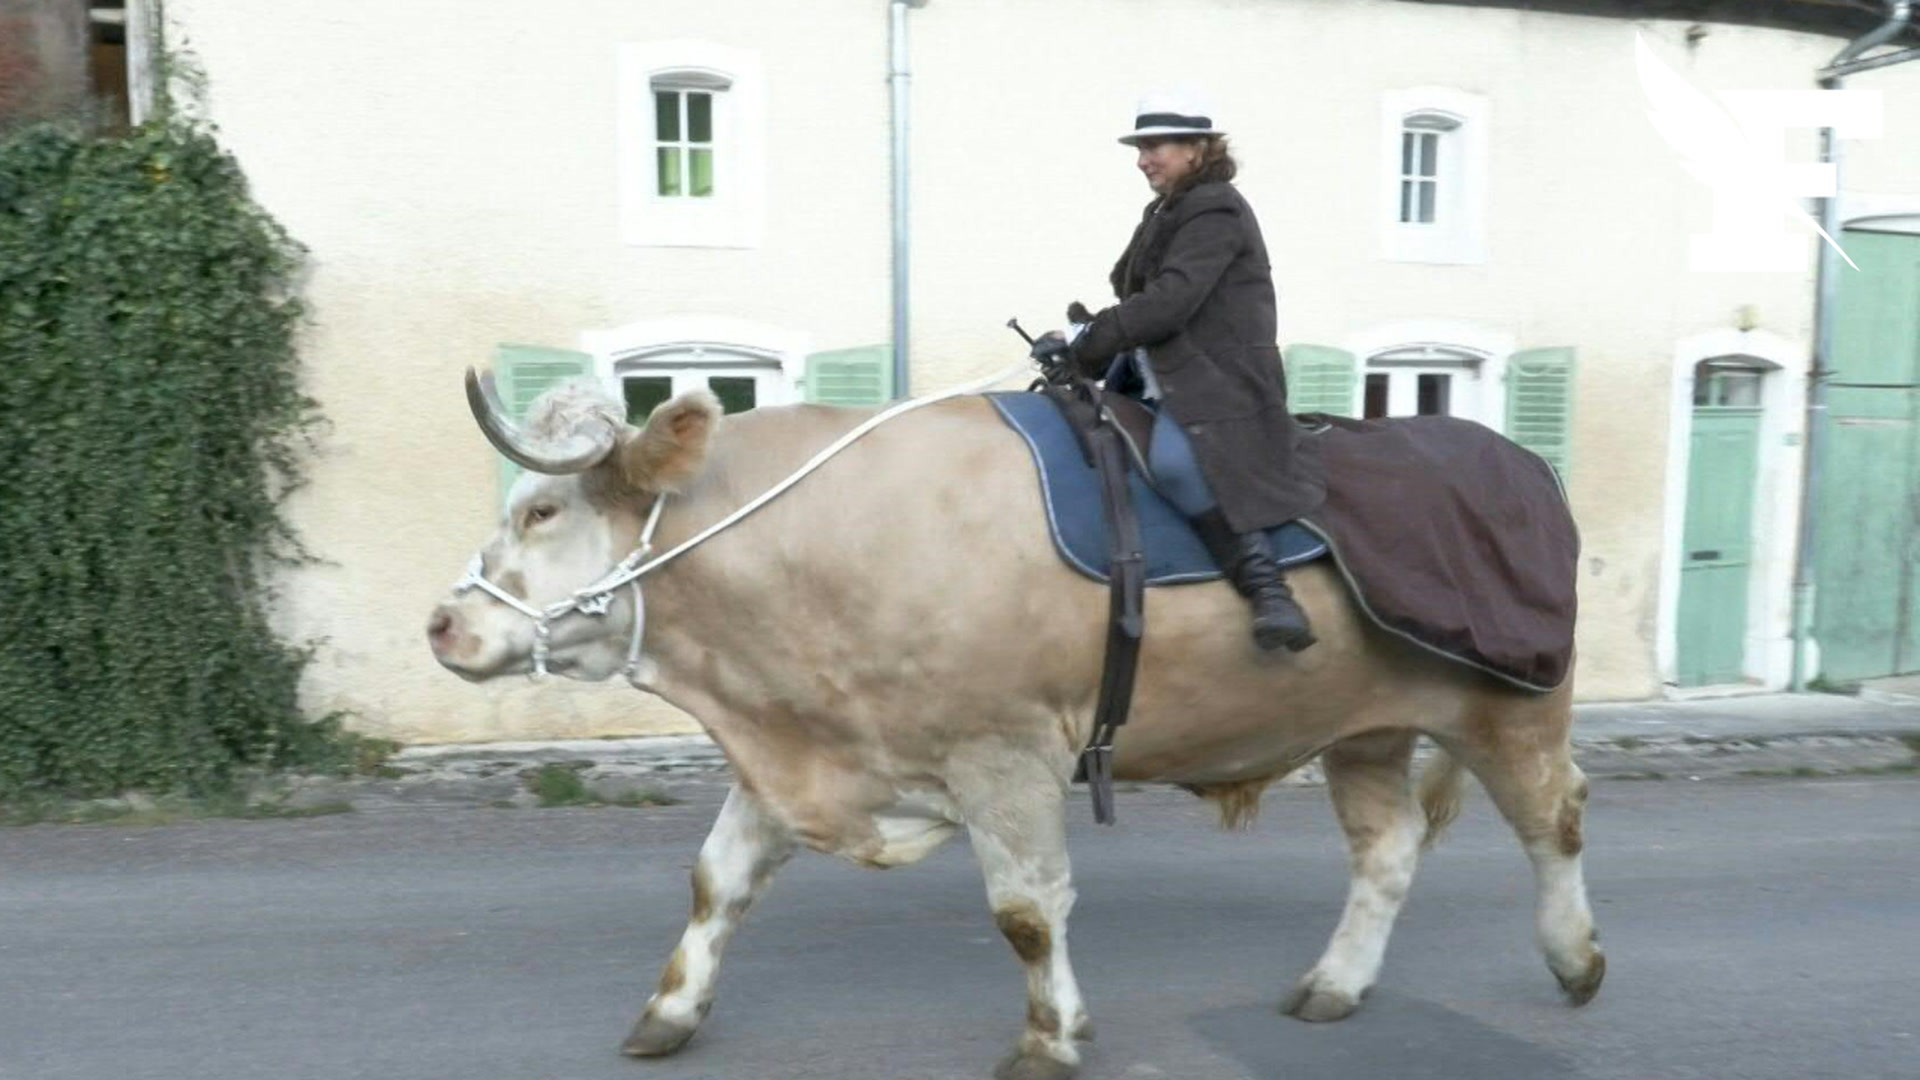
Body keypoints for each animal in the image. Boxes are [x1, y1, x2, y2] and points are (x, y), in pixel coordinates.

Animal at [424, 372, 1605, 1076]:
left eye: (541, 509)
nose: (442, 624)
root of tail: (1514, 458)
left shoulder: (1006, 755)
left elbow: (1028, 913)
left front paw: (1051, 1037)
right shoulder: (791, 746)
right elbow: (717, 883)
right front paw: (670, 1014)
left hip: (1512, 702)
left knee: (1555, 824)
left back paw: (1576, 960)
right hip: (1364, 726)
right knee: (1390, 850)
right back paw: (1335, 985)